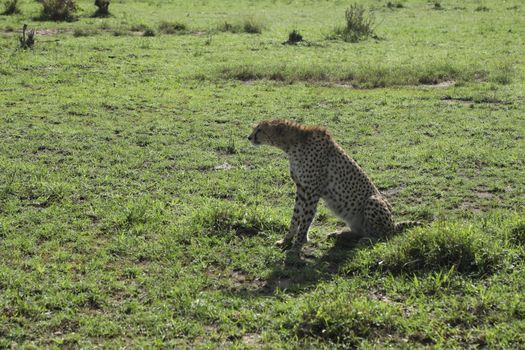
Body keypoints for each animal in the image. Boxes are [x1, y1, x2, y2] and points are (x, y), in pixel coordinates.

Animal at [248, 120, 420, 252]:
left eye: (260, 129)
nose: (249, 137)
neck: (292, 145)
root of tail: (394, 224)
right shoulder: (301, 188)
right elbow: (296, 216)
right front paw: (287, 240)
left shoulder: (311, 191)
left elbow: (306, 218)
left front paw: (296, 246)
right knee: (359, 231)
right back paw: (338, 234)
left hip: (373, 201)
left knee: (385, 235)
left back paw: (368, 239)